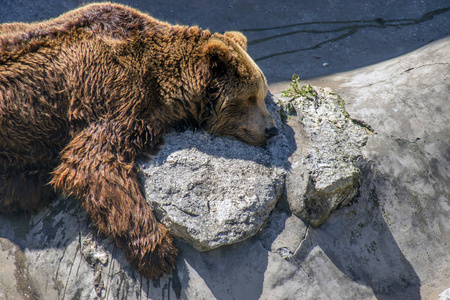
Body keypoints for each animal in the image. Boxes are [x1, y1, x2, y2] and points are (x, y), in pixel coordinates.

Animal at [0, 2, 280, 278]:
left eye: (262, 94)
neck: (165, 86)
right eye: (250, 97)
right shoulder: (111, 91)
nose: (272, 129)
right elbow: (94, 162)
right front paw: (158, 251)